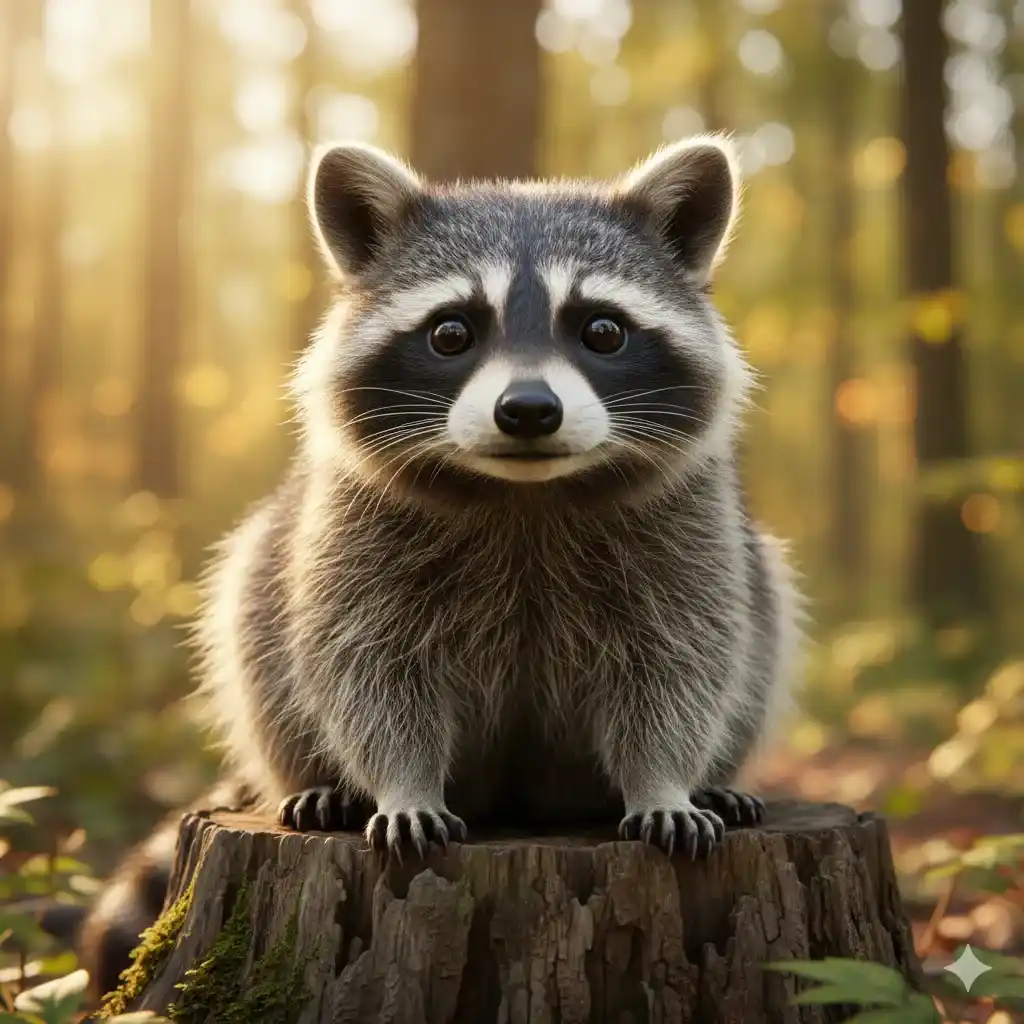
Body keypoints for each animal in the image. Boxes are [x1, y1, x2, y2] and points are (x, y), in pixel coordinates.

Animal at [79, 133, 803, 995]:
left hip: (749, 566)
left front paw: (662, 779)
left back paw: (717, 778)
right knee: (257, 631)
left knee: (761, 625)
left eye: (602, 331)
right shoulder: (352, 540)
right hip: (273, 564)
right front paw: (401, 783)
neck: (525, 494)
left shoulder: (689, 536)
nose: (529, 411)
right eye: (452, 332)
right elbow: (367, 672)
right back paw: (317, 782)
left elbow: (679, 665)